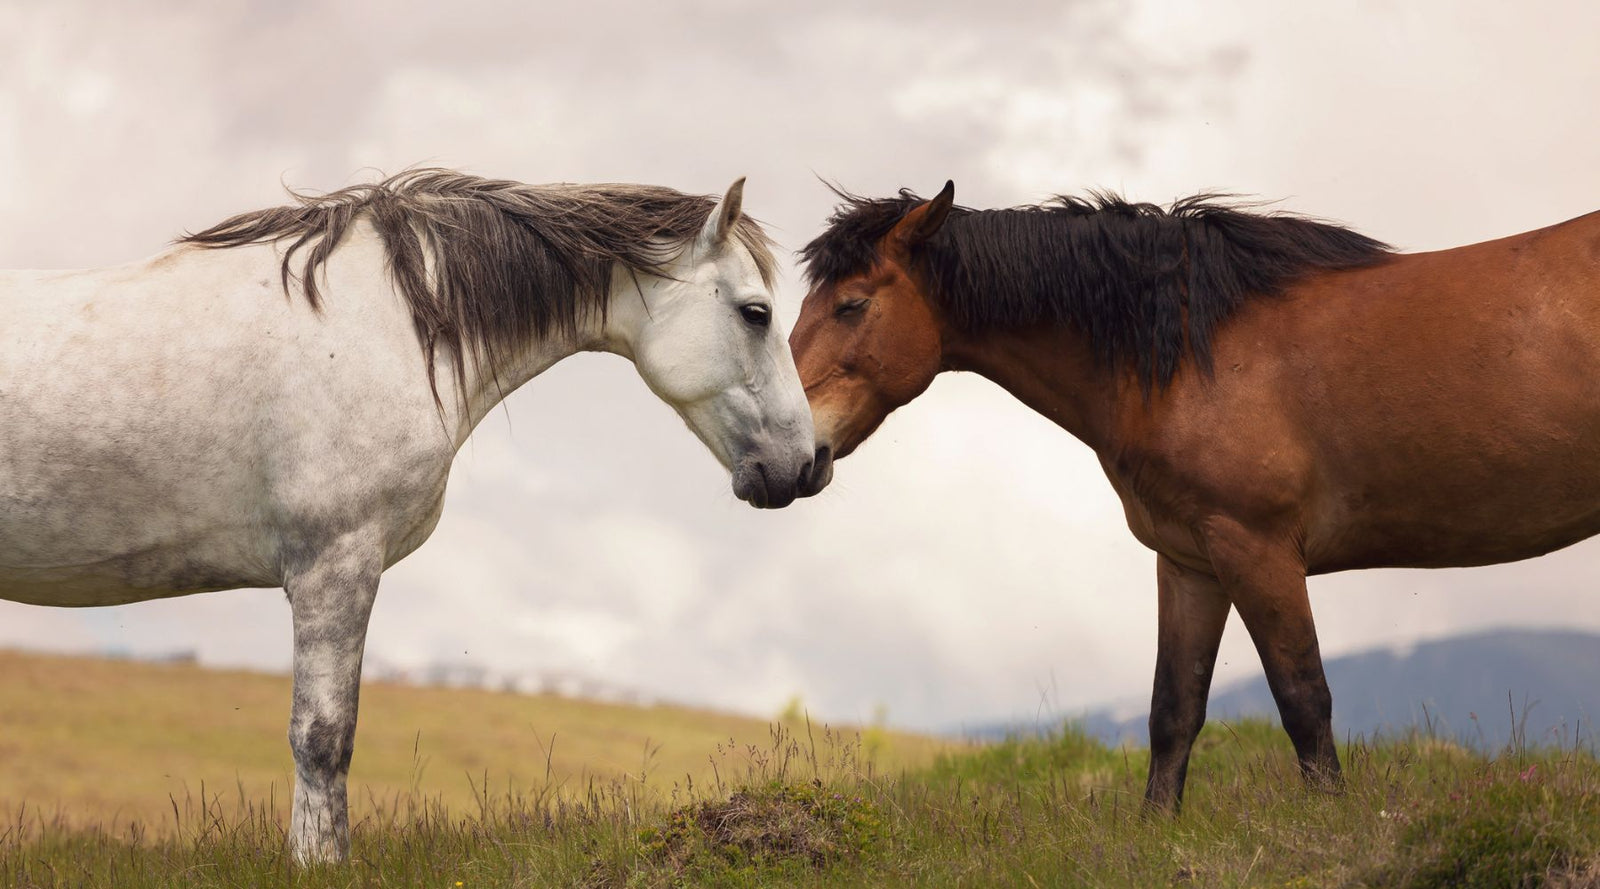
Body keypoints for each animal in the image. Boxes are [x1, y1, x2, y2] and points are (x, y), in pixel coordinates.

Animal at [0, 169, 822, 861]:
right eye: (756, 313)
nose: (806, 464)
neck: (383, 326)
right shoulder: (334, 566)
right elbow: (323, 736)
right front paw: (318, 863)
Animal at [788, 179, 1600, 811]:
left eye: (851, 305)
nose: (787, 453)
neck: (1183, 352)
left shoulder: (1257, 549)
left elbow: (1304, 700)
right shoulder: (1191, 563)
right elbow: (1172, 711)